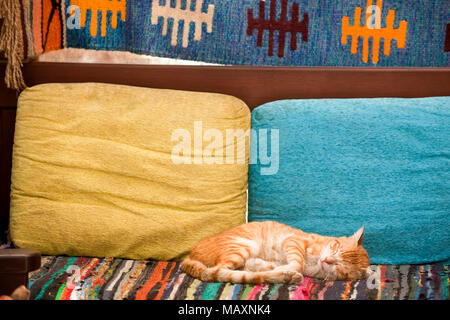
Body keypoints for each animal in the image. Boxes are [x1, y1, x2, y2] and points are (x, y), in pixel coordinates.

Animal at [181, 221, 370, 284]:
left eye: (340, 267)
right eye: (335, 248)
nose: (328, 260)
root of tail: (188, 256)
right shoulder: (293, 241)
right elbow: (297, 263)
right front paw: (286, 268)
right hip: (243, 247)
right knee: (216, 272)